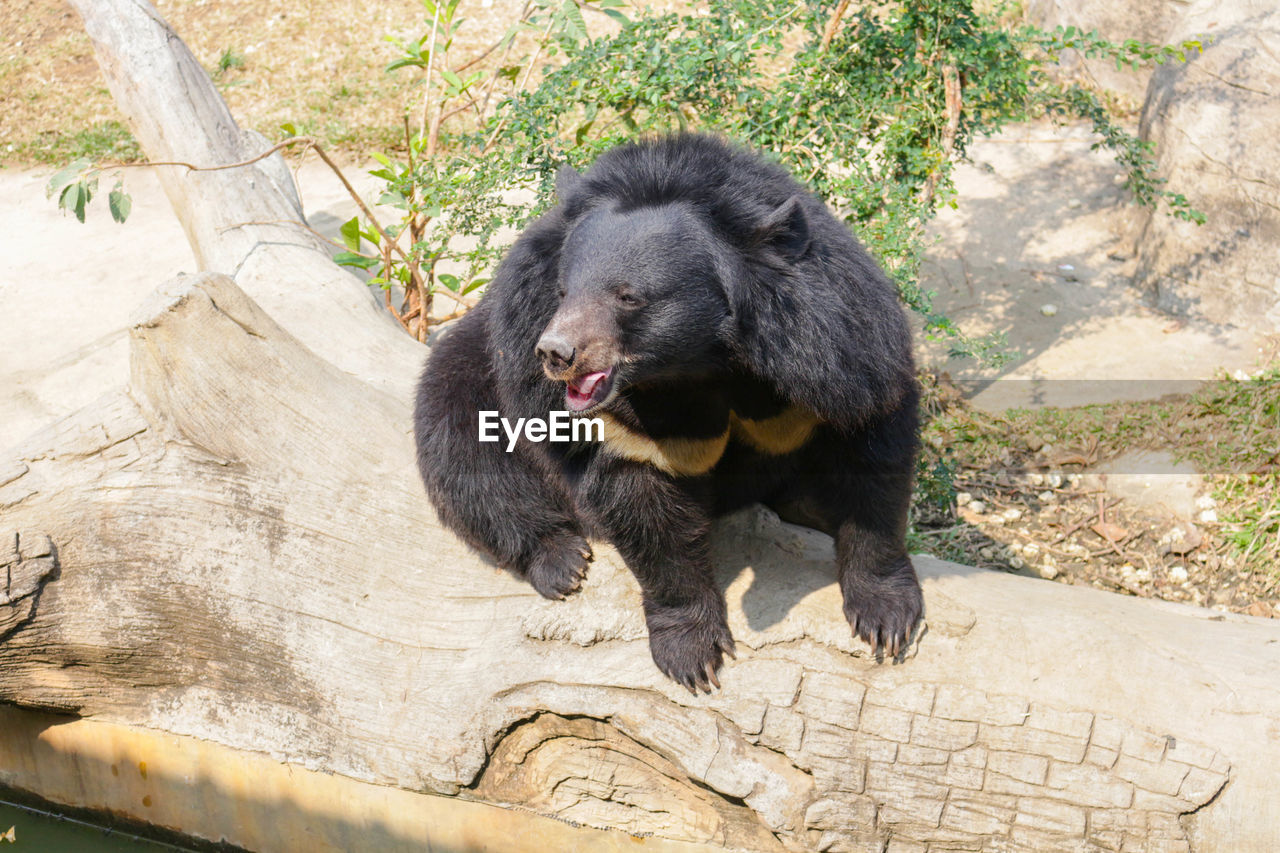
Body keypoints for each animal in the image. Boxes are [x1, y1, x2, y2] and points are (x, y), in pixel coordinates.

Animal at [414, 133, 926, 691]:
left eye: (628, 297)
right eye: (563, 292)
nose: (556, 353)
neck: (701, 363)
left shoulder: (839, 352)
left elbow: (871, 453)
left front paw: (887, 618)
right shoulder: (618, 423)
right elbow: (646, 508)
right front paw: (693, 654)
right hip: (474, 367)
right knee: (465, 455)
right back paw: (561, 560)